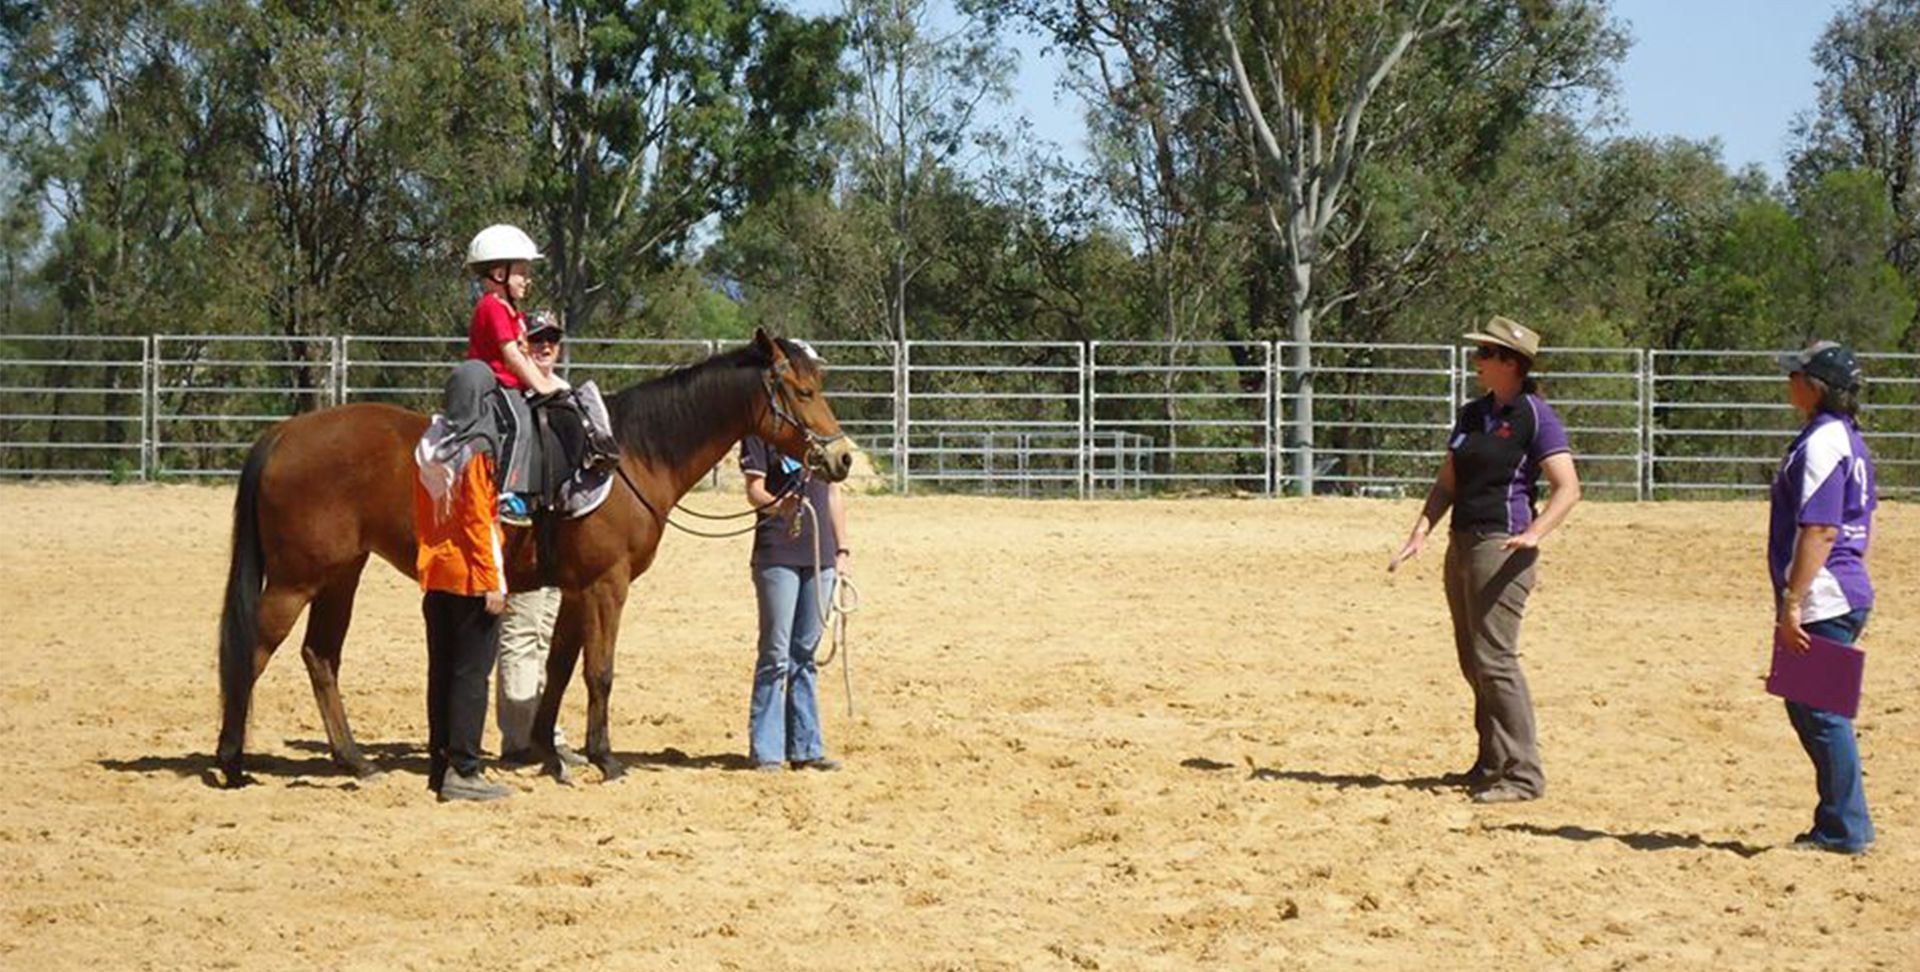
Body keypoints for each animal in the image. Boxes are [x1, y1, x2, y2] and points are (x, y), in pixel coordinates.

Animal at [214, 329, 853, 788]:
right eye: (802, 392)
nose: (843, 457)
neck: (629, 455)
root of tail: (284, 433)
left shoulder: (573, 588)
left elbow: (562, 667)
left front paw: (548, 751)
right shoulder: (606, 585)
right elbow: (599, 671)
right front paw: (605, 758)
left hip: (339, 575)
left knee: (320, 656)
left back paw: (354, 761)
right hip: (296, 580)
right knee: (252, 651)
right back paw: (231, 762)